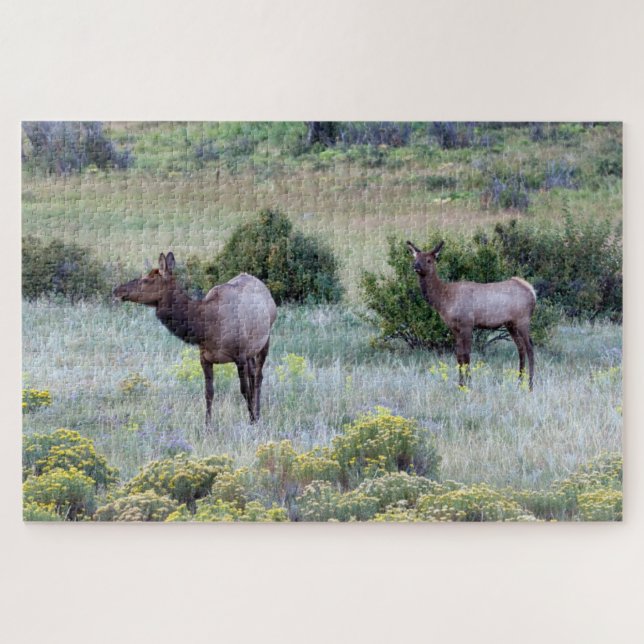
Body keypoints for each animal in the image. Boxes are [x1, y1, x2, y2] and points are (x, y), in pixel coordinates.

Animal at [113, 252, 277, 425]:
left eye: (146, 279)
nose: (117, 290)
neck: (206, 328)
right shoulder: (205, 358)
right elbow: (209, 392)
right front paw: (208, 424)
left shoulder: (239, 356)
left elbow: (243, 390)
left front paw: (252, 419)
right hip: (251, 350)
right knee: (253, 374)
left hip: (265, 340)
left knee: (258, 376)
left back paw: (257, 413)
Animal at [406, 240, 536, 390]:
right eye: (415, 257)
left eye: (429, 260)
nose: (415, 266)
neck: (444, 300)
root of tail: (532, 292)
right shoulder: (454, 327)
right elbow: (459, 355)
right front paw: (460, 384)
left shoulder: (467, 323)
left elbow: (467, 354)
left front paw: (469, 384)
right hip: (511, 324)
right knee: (521, 348)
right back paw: (519, 381)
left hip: (523, 320)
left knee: (530, 348)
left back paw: (530, 385)